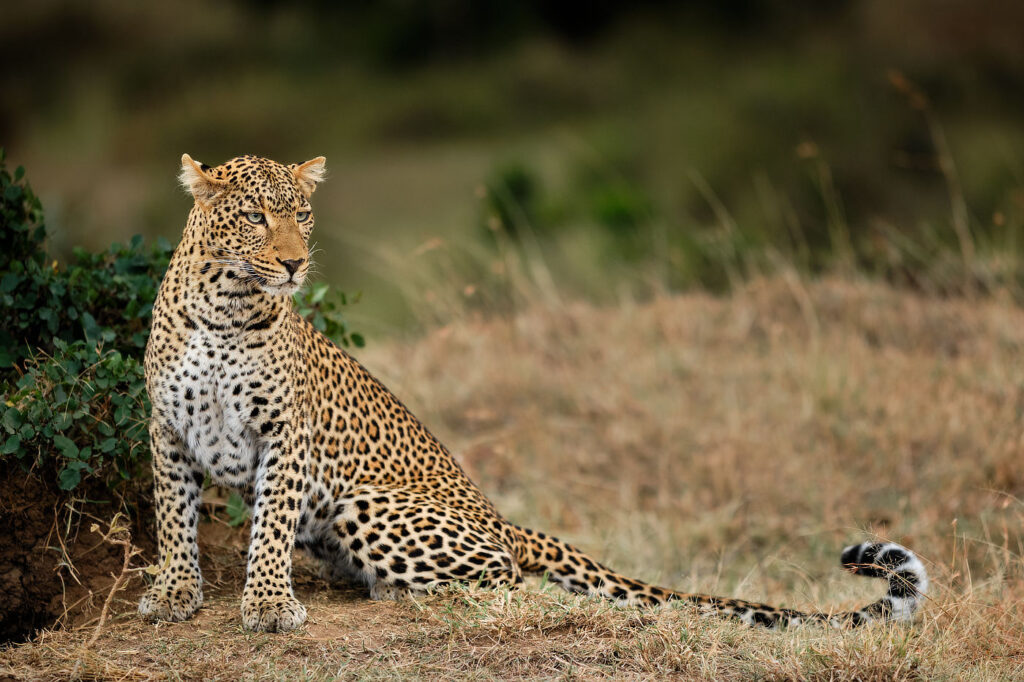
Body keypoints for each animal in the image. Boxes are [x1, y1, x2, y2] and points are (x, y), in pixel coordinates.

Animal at [138, 153, 928, 633]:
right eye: (254, 217)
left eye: (301, 213)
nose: (296, 264)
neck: (225, 308)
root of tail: (499, 516)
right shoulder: (166, 428)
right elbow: (172, 518)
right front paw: (175, 592)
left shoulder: (285, 434)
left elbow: (269, 525)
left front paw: (270, 605)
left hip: (369, 507)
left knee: (507, 576)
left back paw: (399, 588)